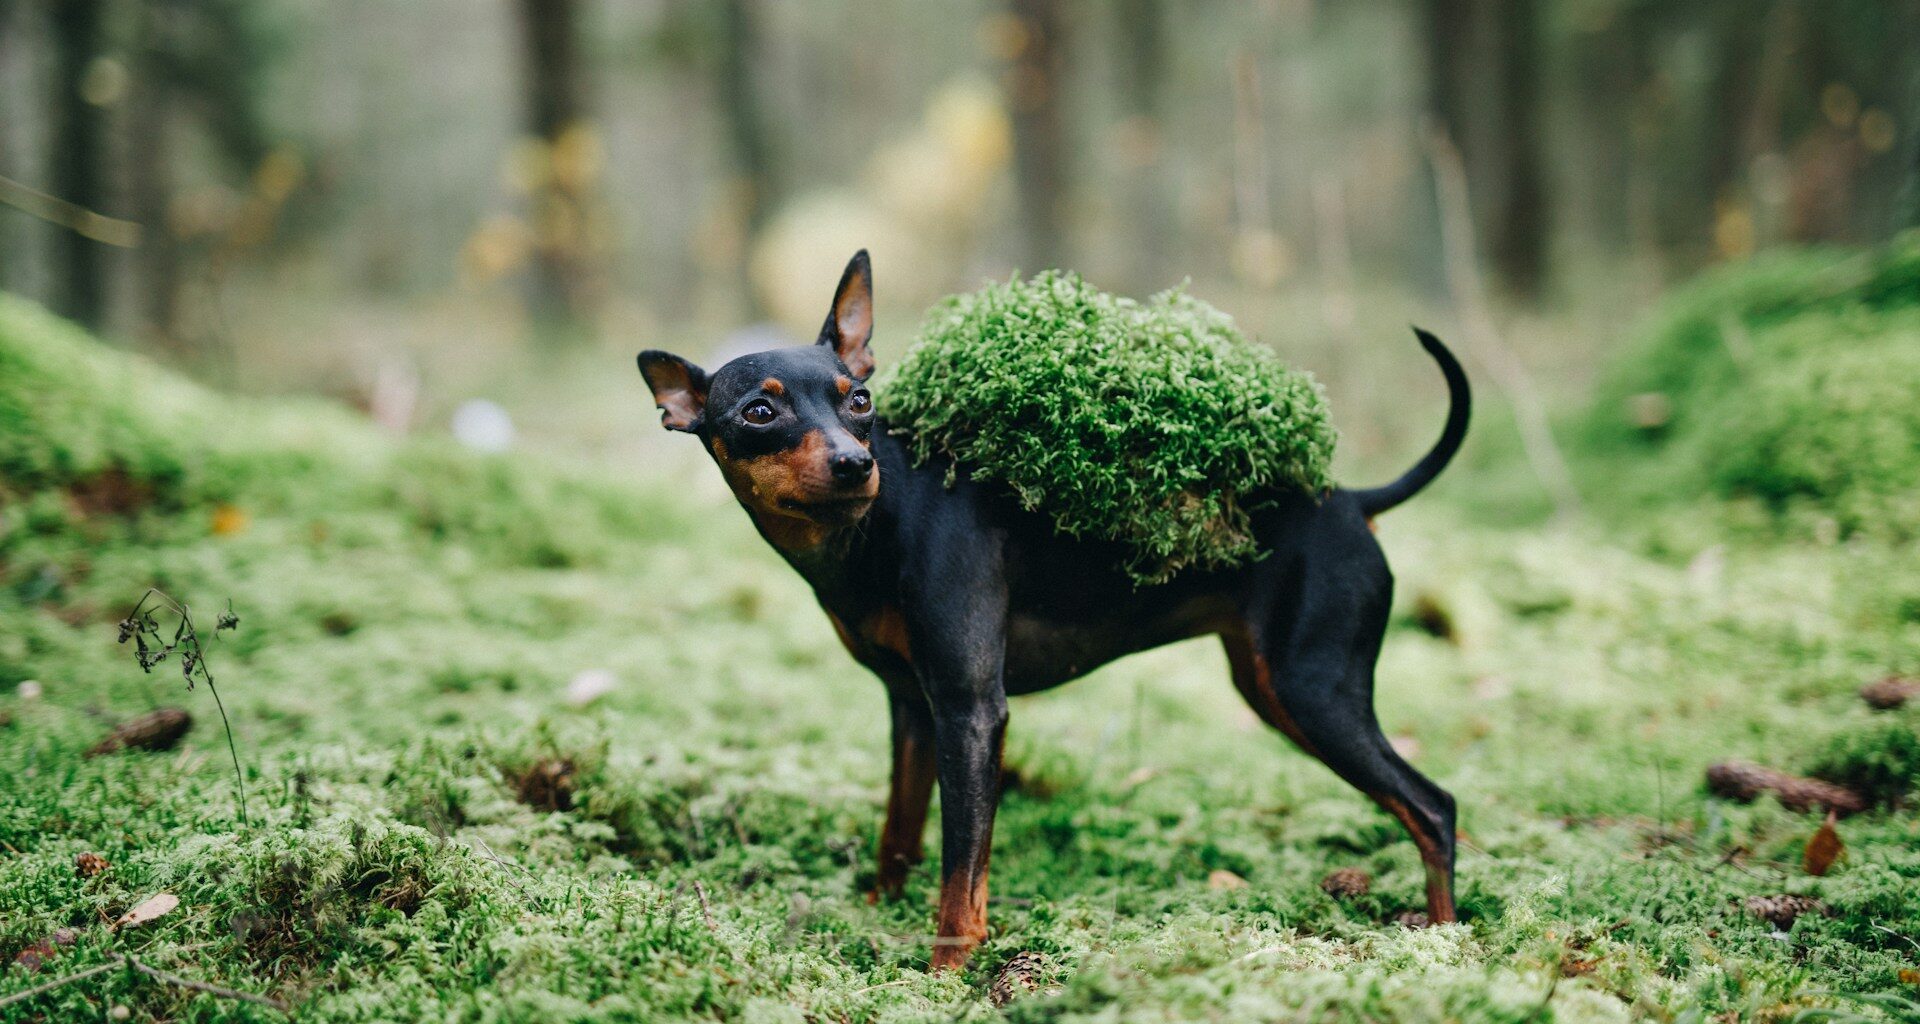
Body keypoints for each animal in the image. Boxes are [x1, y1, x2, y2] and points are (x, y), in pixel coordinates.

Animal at [637, 247, 1474, 964]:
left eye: (861, 400)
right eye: (758, 413)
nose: (853, 464)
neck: (874, 528)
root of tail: (1355, 500)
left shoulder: (973, 712)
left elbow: (961, 870)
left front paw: (946, 974)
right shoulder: (913, 709)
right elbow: (898, 832)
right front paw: (875, 915)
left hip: (1310, 690)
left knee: (1434, 808)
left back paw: (1443, 942)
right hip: (1272, 688)